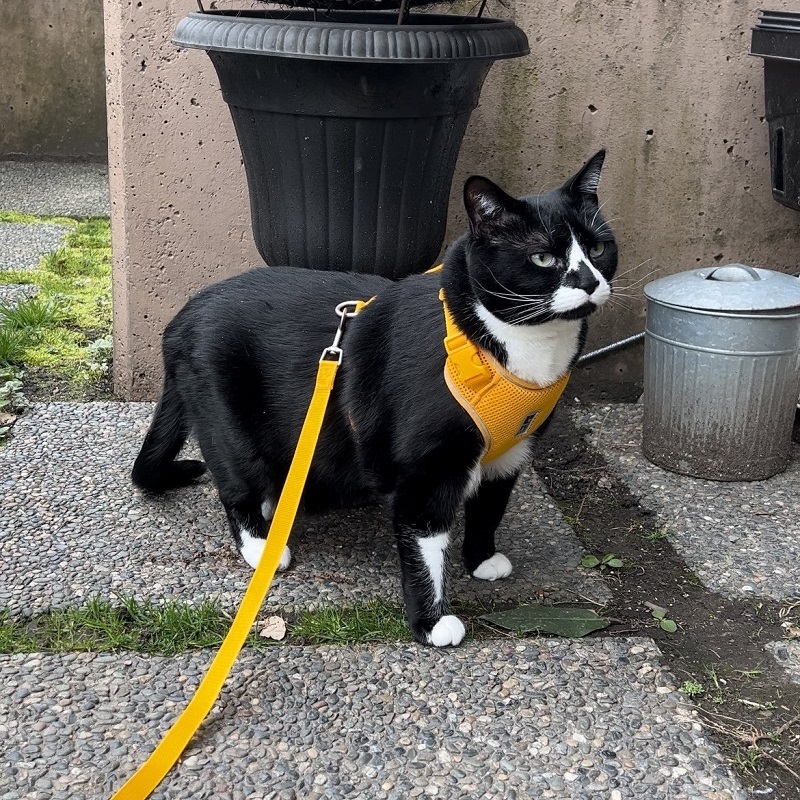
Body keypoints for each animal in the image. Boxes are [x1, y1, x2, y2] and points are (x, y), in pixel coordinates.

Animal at [133, 150, 620, 648]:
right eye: (543, 257)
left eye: (599, 249)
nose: (589, 281)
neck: (517, 349)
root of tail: (182, 318)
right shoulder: (427, 470)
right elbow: (425, 546)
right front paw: (432, 621)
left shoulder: (511, 452)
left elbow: (490, 507)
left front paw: (482, 558)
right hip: (229, 423)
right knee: (235, 487)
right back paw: (261, 544)